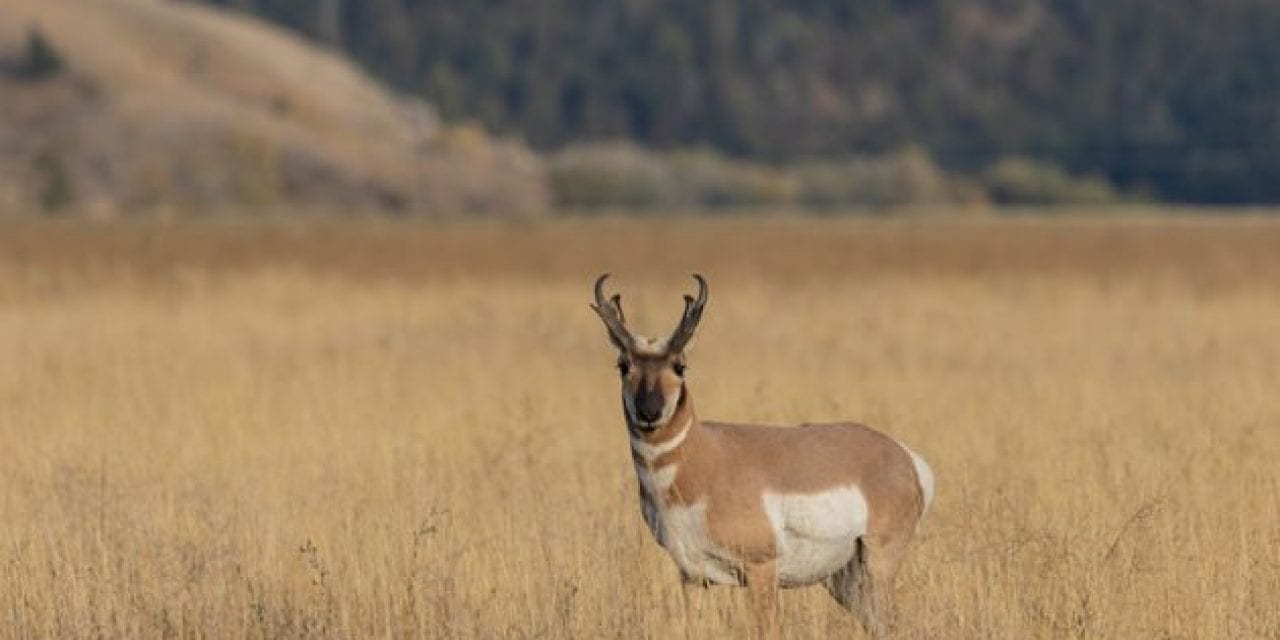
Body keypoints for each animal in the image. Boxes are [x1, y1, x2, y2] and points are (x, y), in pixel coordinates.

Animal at [588, 275, 931, 640]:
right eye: (623, 365)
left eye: (680, 366)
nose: (649, 412)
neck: (704, 459)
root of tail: (904, 456)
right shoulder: (692, 576)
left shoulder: (761, 568)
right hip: (843, 579)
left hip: (878, 563)